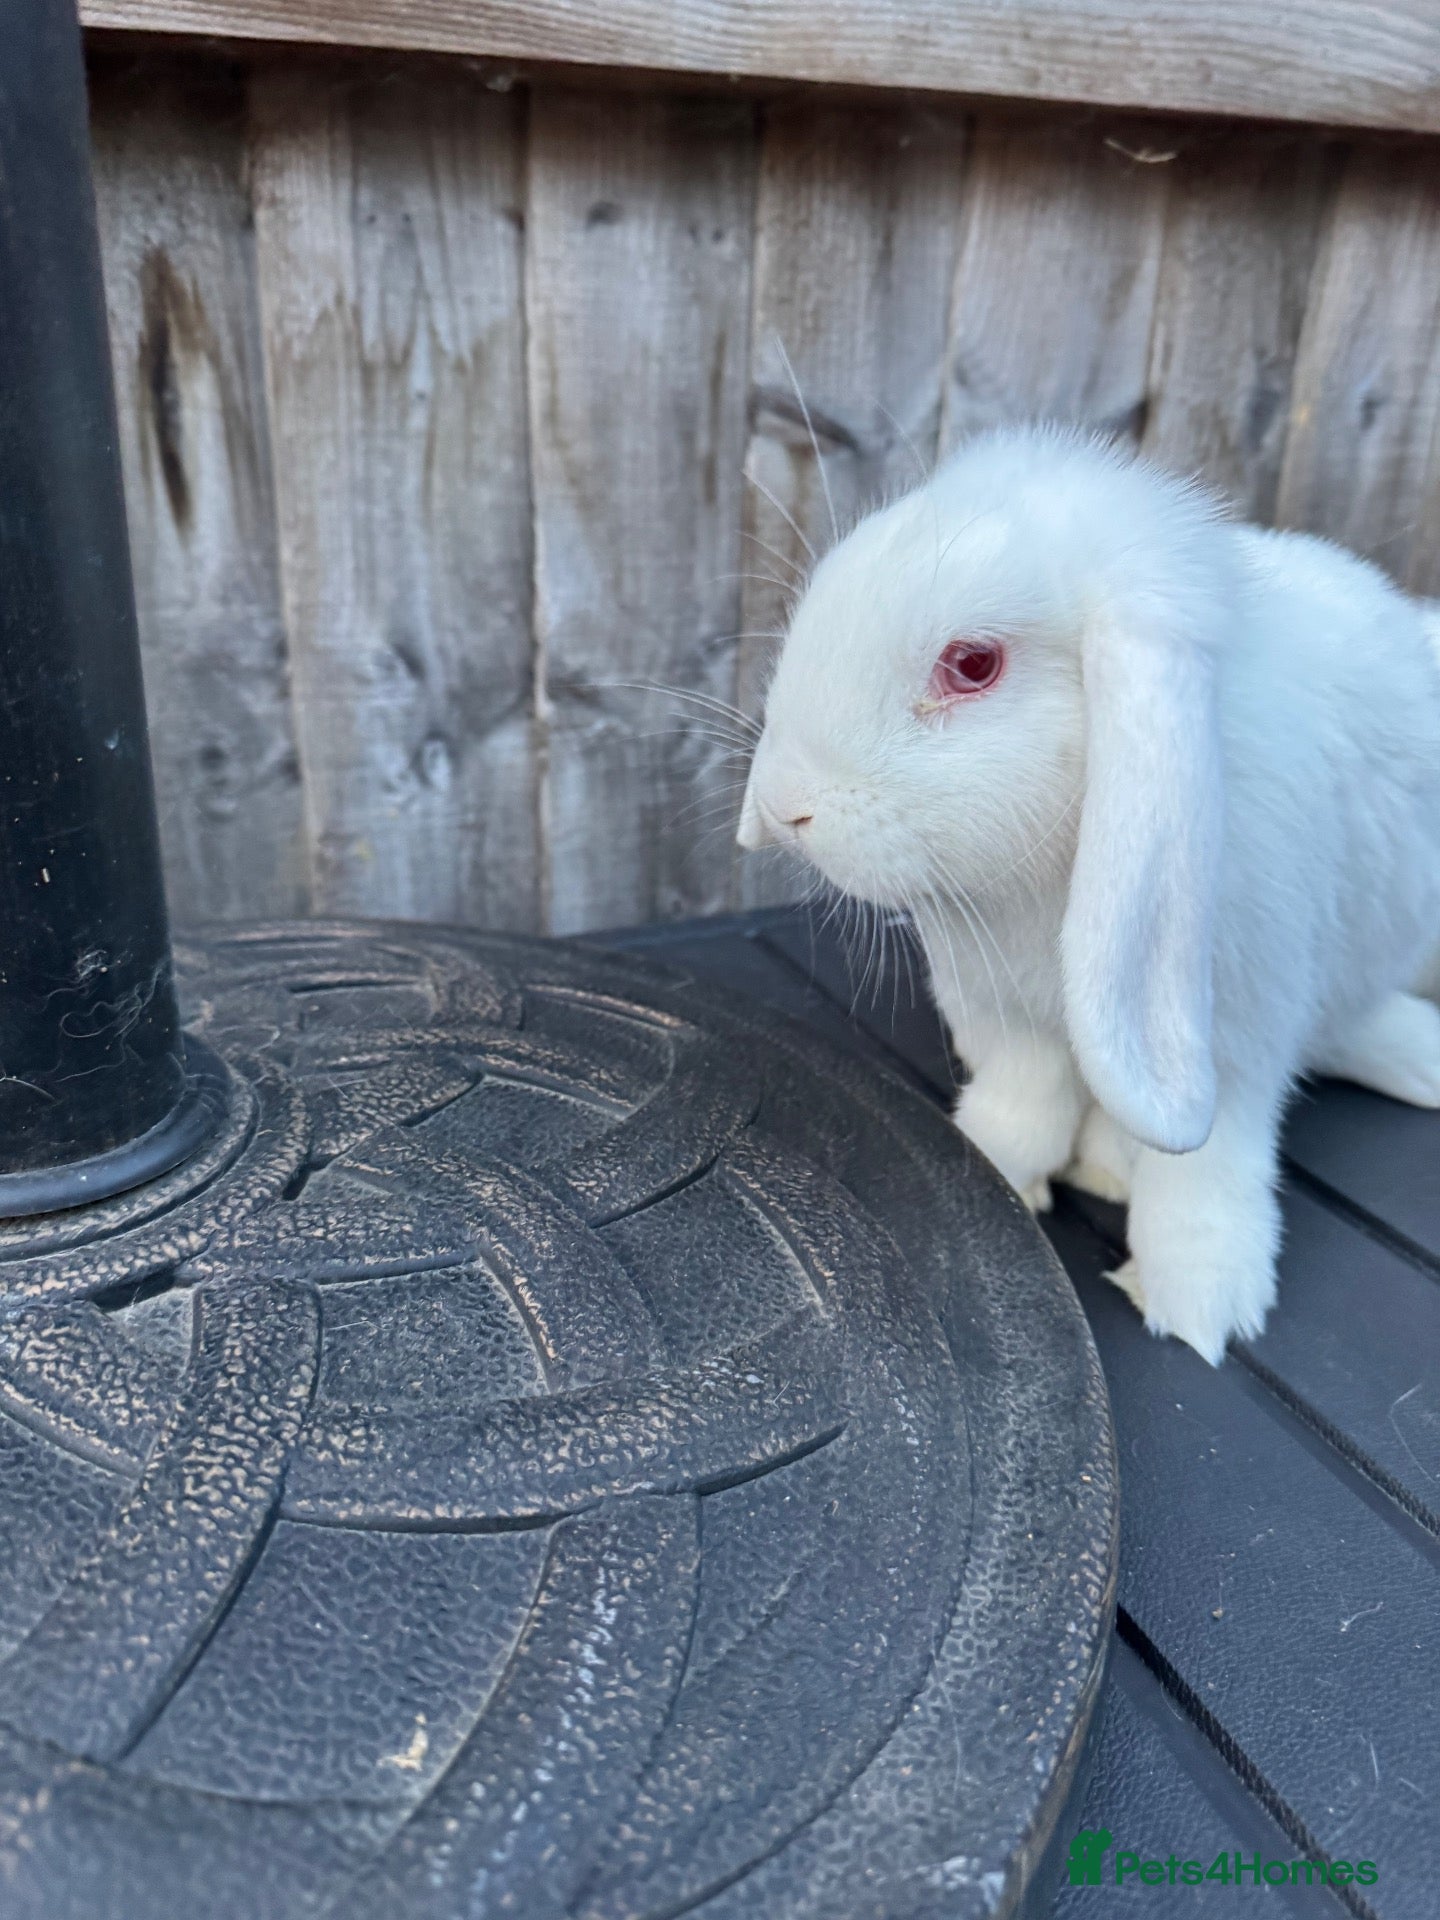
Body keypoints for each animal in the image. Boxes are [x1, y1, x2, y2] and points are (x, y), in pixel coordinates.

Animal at [737, 425, 1440, 1363]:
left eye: (973, 664)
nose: (786, 805)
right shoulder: (1008, 1017)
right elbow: (1023, 1104)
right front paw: (990, 1173)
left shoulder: (1232, 1041)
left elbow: (1207, 1169)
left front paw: (1199, 1299)